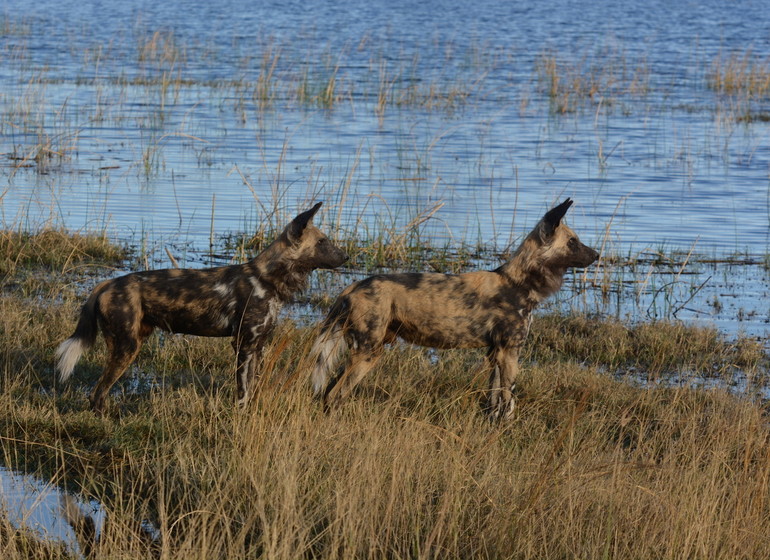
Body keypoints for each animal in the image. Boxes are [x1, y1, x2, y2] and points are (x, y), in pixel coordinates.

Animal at [57, 203, 348, 414]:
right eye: (322, 242)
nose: (346, 256)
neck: (267, 278)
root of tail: (107, 283)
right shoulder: (243, 345)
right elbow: (242, 391)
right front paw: (241, 415)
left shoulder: (258, 346)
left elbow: (253, 387)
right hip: (127, 347)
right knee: (97, 393)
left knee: (98, 392)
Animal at [308, 198, 596, 420]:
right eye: (573, 242)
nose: (597, 255)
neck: (518, 283)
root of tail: (352, 287)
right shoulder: (510, 353)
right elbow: (509, 401)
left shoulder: (497, 353)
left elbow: (493, 402)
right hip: (369, 353)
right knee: (334, 395)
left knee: (328, 392)